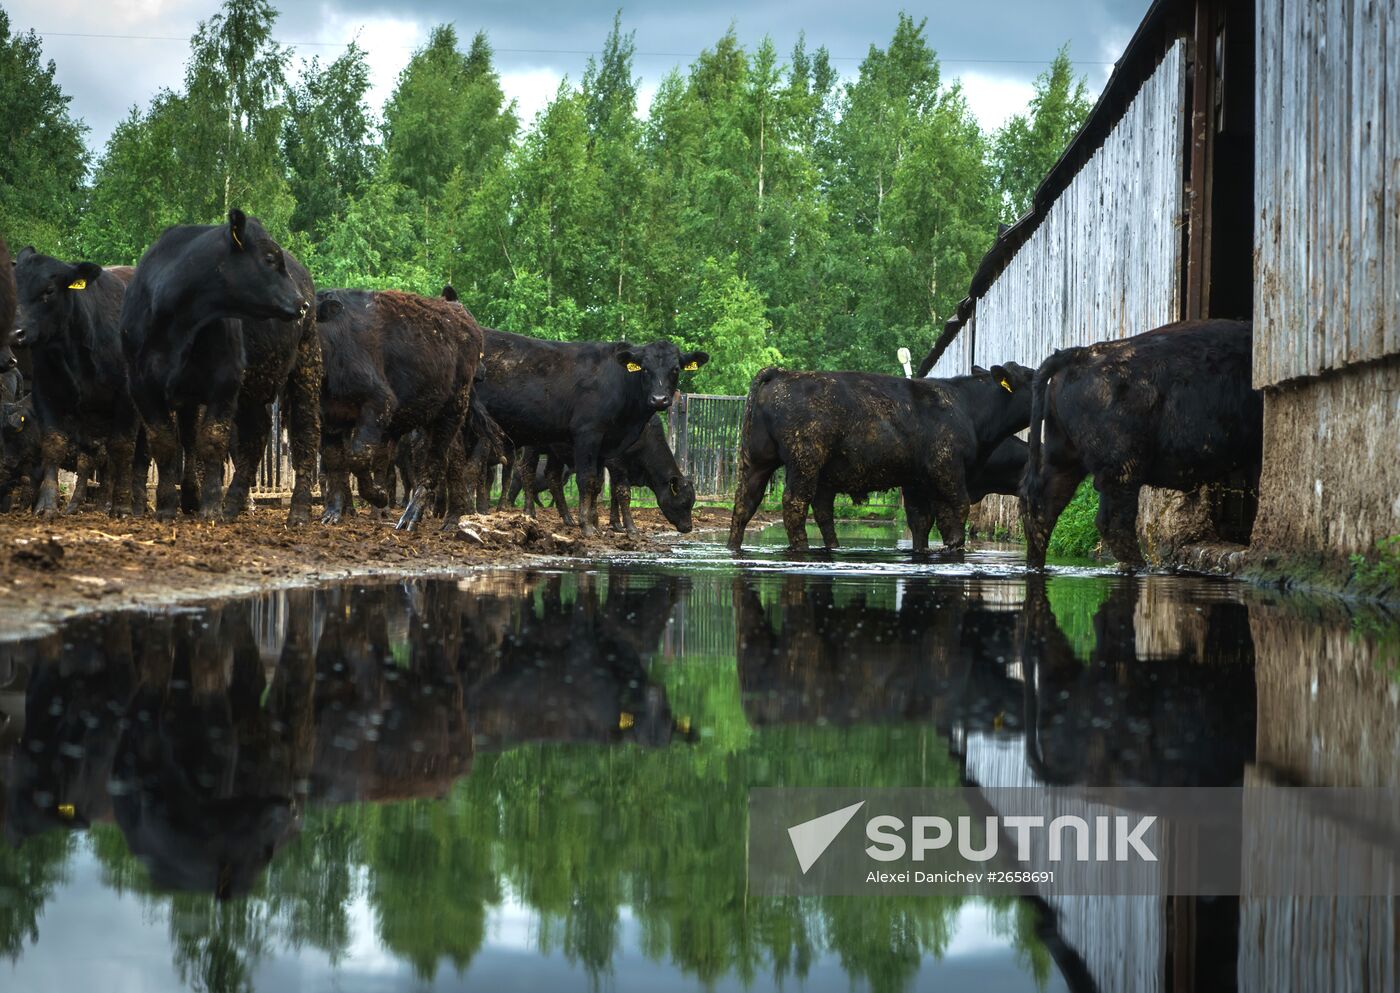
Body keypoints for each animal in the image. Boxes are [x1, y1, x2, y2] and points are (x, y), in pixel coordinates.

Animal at [14, 247, 146, 515]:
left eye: (49, 290)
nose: (15, 333)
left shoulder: (126, 398)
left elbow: (123, 447)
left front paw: (122, 505)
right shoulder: (46, 393)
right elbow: (54, 444)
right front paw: (47, 504)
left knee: (141, 455)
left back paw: (136, 504)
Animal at [119, 205, 319, 523]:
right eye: (269, 258)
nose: (301, 303)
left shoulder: (224, 380)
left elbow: (212, 440)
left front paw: (210, 506)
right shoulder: (142, 386)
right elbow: (165, 443)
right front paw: (167, 506)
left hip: (306, 362)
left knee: (305, 432)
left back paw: (298, 509)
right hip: (253, 388)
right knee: (255, 434)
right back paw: (234, 503)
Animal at [317, 288, 487, 526]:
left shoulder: (379, 404)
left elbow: (359, 458)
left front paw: (379, 496)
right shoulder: (330, 417)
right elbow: (335, 461)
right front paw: (331, 514)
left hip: (453, 410)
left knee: (435, 461)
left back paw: (411, 518)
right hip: (435, 418)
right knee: (450, 458)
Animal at [728, 364, 1036, 554]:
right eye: (1034, 376)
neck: (967, 408)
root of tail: (782, 373)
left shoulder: (918, 481)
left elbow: (922, 520)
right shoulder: (947, 470)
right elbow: (956, 511)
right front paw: (954, 547)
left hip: (758, 461)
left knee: (745, 502)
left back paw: (734, 546)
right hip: (805, 461)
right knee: (794, 503)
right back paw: (801, 549)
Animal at [1019, 317, 1271, 565]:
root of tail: (1079, 354)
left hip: (1064, 458)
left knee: (1042, 508)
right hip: (1122, 469)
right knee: (1114, 523)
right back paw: (1141, 567)